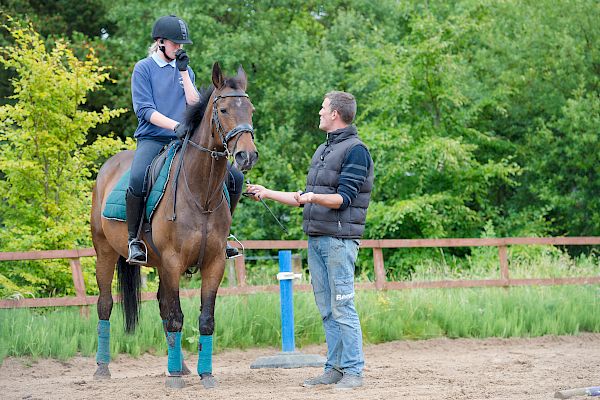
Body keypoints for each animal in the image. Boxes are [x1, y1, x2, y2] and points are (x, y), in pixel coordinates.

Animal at [91, 64, 258, 390]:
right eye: (223, 109)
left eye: (250, 110)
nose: (247, 156)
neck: (201, 195)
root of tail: (109, 167)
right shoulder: (172, 261)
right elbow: (176, 317)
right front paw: (176, 382)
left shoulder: (214, 263)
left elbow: (205, 319)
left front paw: (206, 374)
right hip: (105, 251)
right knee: (105, 304)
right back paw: (102, 368)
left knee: (161, 305)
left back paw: (178, 365)